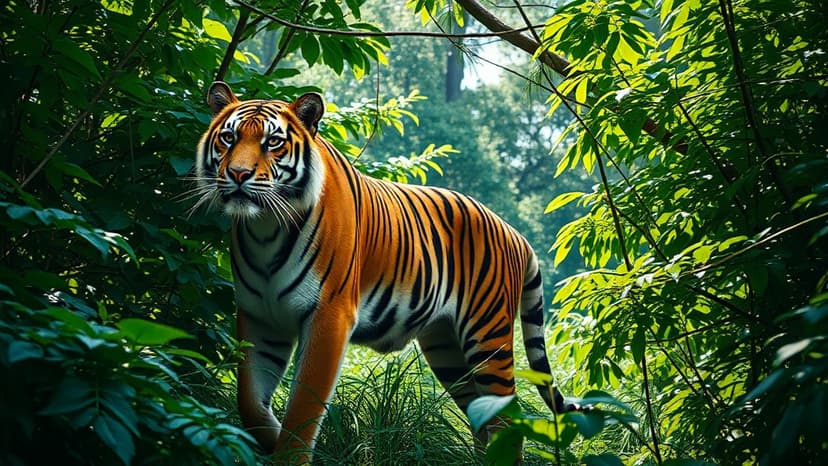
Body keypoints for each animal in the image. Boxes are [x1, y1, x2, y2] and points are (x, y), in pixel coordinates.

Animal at [193, 81, 579, 463]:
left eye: (272, 142)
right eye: (228, 138)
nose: (238, 174)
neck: (265, 228)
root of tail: (515, 232)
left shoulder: (328, 316)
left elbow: (302, 414)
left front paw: (290, 452)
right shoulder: (260, 317)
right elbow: (250, 403)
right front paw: (270, 440)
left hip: (487, 338)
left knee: (506, 422)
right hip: (447, 348)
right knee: (482, 416)